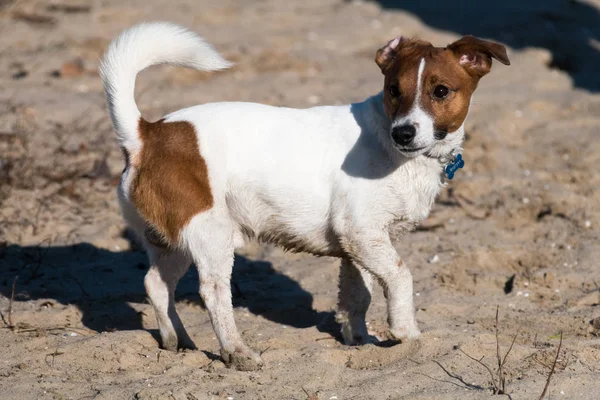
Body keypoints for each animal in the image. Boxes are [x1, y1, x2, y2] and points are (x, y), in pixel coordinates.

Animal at [99, 21, 510, 370]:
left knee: (156, 285)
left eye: (440, 91)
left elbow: (357, 297)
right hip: (210, 234)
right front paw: (405, 331)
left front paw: (359, 341)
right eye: (394, 91)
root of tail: (145, 135)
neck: (394, 148)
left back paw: (178, 340)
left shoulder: (356, 247)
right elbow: (401, 277)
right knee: (213, 293)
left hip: (176, 240)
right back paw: (237, 351)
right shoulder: (364, 234)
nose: (403, 133)